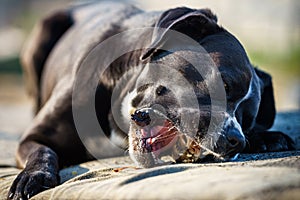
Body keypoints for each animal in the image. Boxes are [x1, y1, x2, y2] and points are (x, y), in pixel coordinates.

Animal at [7, 1, 292, 200]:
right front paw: (33, 177)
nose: (236, 141)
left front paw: (264, 136)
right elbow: (43, 151)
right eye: (224, 84)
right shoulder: (34, 138)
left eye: (248, 119)